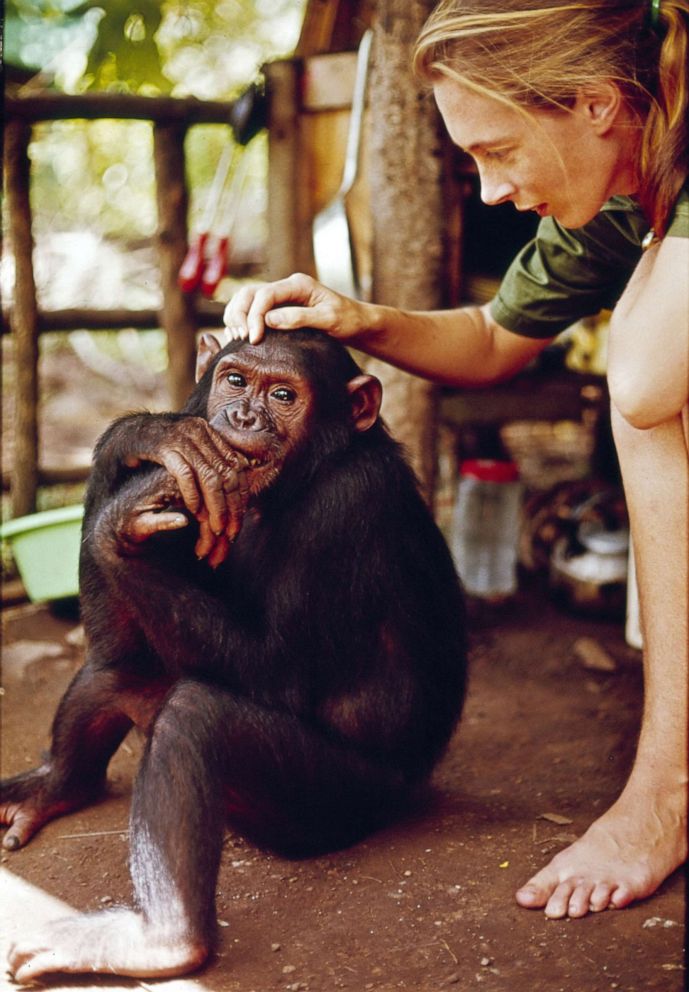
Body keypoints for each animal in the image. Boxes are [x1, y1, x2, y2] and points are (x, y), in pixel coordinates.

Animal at [2, 330, 464, 980]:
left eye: (283, 395)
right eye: (236, 381)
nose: (244, 416)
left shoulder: (350, 502)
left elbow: (280, 672)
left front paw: (124, 514)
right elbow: (118, 641)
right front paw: (146, 439)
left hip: (339, 807)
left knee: (196, 716)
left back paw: (162, 940)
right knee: (120, 669)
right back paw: (54, 786)